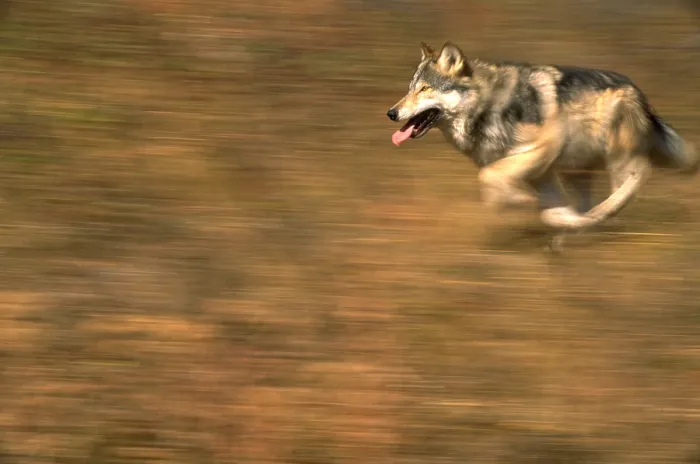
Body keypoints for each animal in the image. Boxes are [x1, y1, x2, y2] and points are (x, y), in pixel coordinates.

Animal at [386, 42, 699, 251]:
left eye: (425, 89)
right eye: (410, 89)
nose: (391, 112)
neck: (487, 106)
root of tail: (639, 93)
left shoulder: (546, 146)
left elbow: (488, 176)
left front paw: (522, 202)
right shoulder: (542, 173)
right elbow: (551, 210)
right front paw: (559, 219)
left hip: (616, 158)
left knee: (638, 176)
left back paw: (603, 215)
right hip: (576, 171)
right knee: (589, 203)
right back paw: (580, 229)